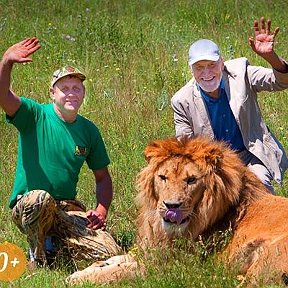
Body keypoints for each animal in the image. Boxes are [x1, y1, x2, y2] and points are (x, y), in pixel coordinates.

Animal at [65, 137, 288, 286]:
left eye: (191, 180)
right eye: (163, 177)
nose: (171, 206)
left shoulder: (167, 265)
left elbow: (122, 271)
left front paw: (81, 279)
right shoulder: (152, 248)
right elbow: (120, 259)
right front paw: (87, 269)